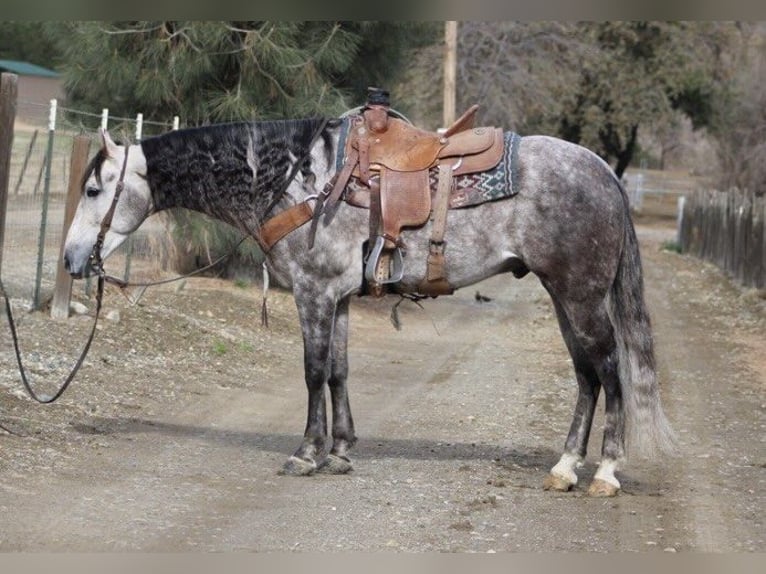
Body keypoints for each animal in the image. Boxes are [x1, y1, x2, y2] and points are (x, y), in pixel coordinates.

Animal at [63, 116, 676, 497]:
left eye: (93, 190)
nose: (70, 258)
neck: (299, 184)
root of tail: (604, 172)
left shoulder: (313, 294)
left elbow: (313, 373)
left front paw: (307, 453)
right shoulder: (337, 300)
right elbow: (338, 370)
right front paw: (339, 450)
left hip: (580, 297)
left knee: (610, 372)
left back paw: (606, 473)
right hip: (564, 297)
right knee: (587, 377)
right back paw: (565, 468)